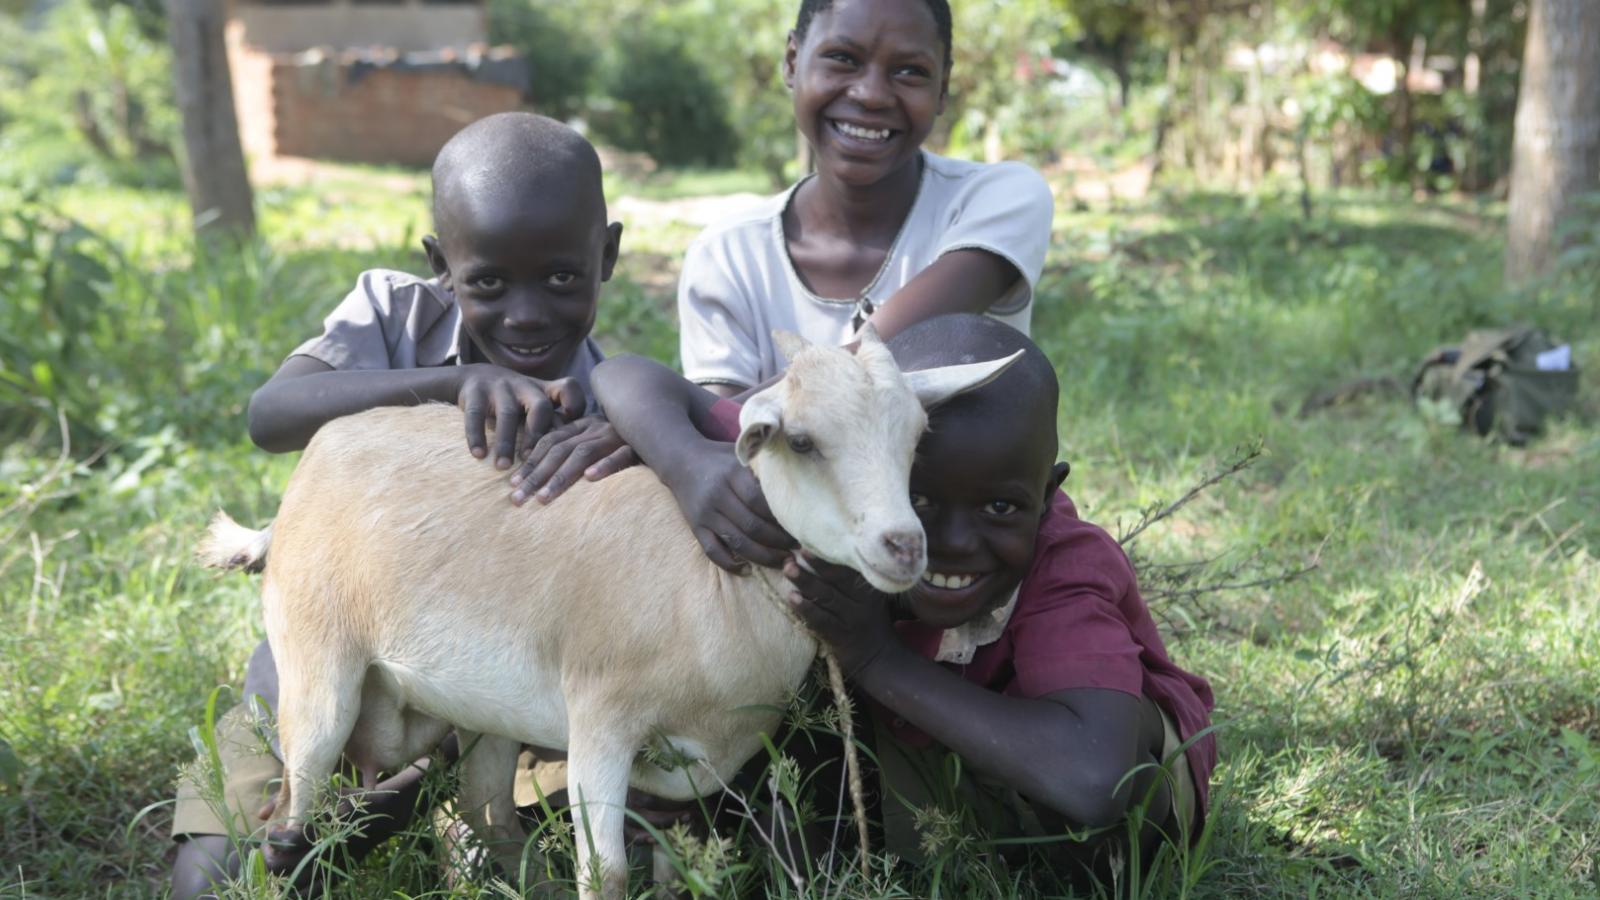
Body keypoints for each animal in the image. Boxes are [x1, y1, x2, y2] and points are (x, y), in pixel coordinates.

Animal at [206, 325, 1017, 890]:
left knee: (486, 813)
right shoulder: (600, 721)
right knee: (289, 828)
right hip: (318, 670)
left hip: (483, 713)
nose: (903, 547)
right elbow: (609, 875)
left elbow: (667, 864)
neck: (712, 586)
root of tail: (298, 485)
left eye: (916, 437)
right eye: (803, 440)